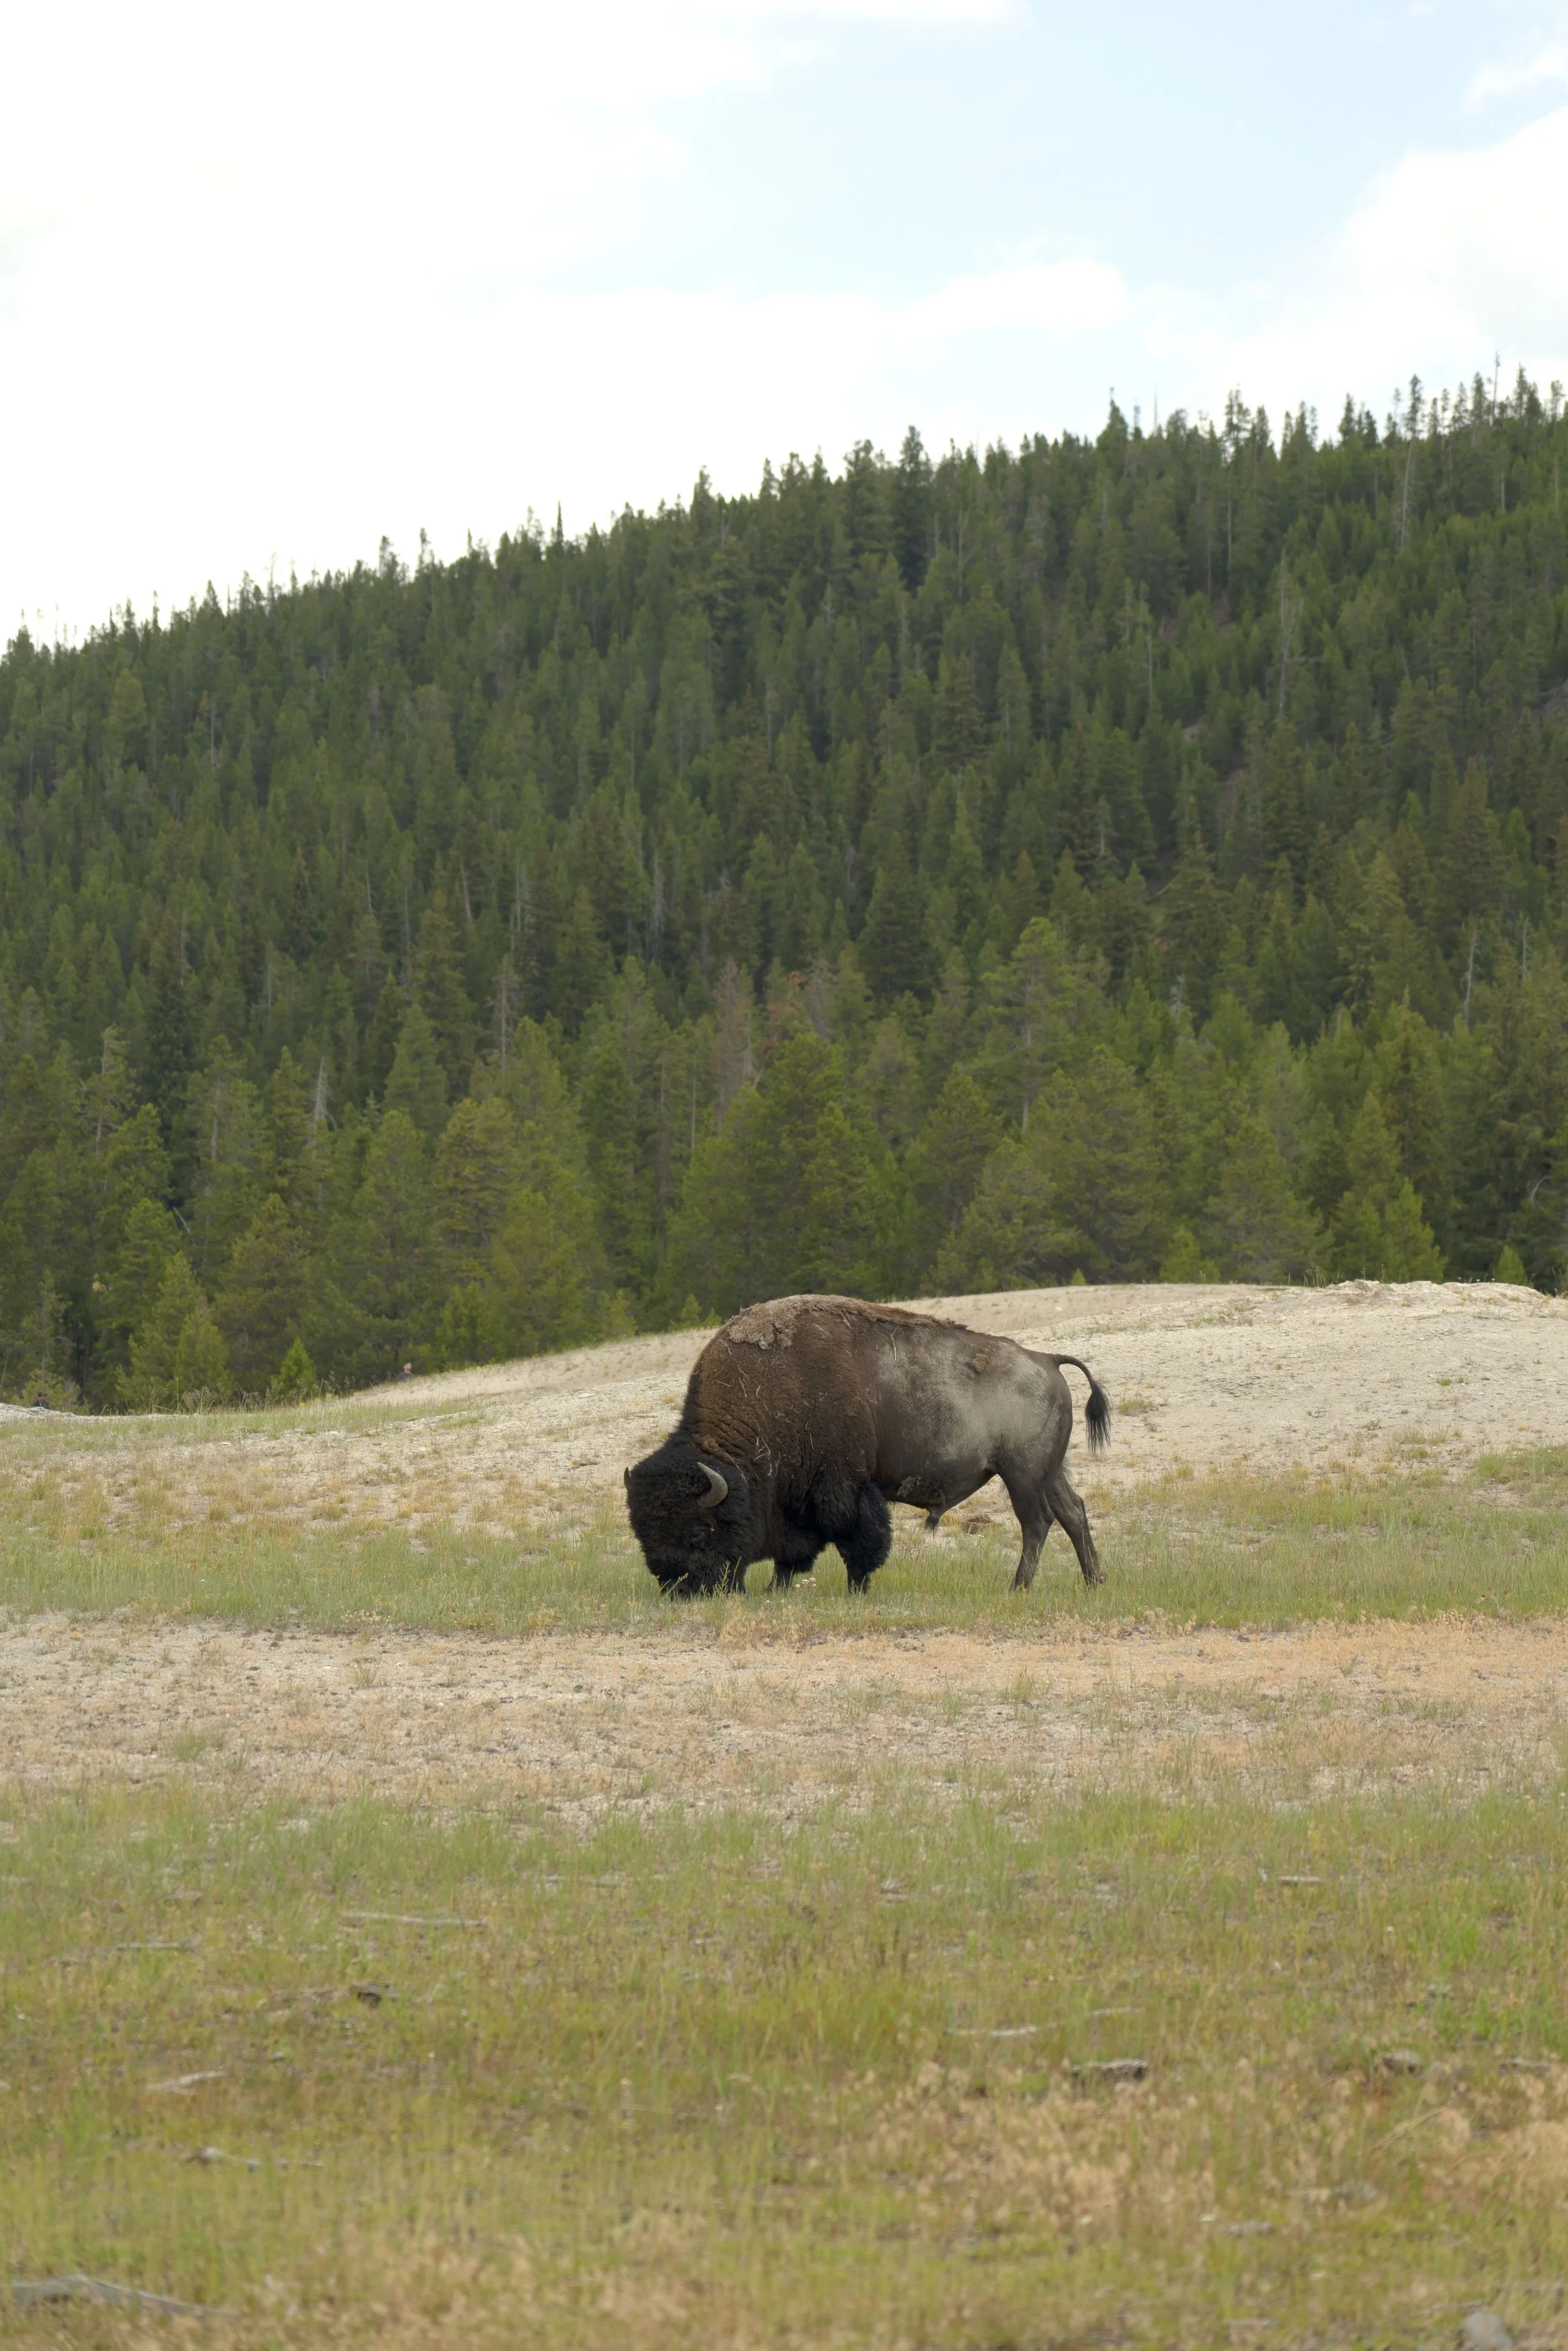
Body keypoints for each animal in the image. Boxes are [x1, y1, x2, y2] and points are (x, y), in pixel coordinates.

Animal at [624, 1293, 1109, 1595]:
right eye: (643, 1533)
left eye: (697, 1533)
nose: (679, 1590)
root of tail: (1046, 1360)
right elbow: (792, 1553)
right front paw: (776, 1588)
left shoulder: (842, 1488)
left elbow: (854, 1539)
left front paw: (857, 1588)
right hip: (1048, 1471)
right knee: (1073, 1512)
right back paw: (1094, 1582)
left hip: (1021, 1473)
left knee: (1037, 1523)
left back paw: (1018, 1588)